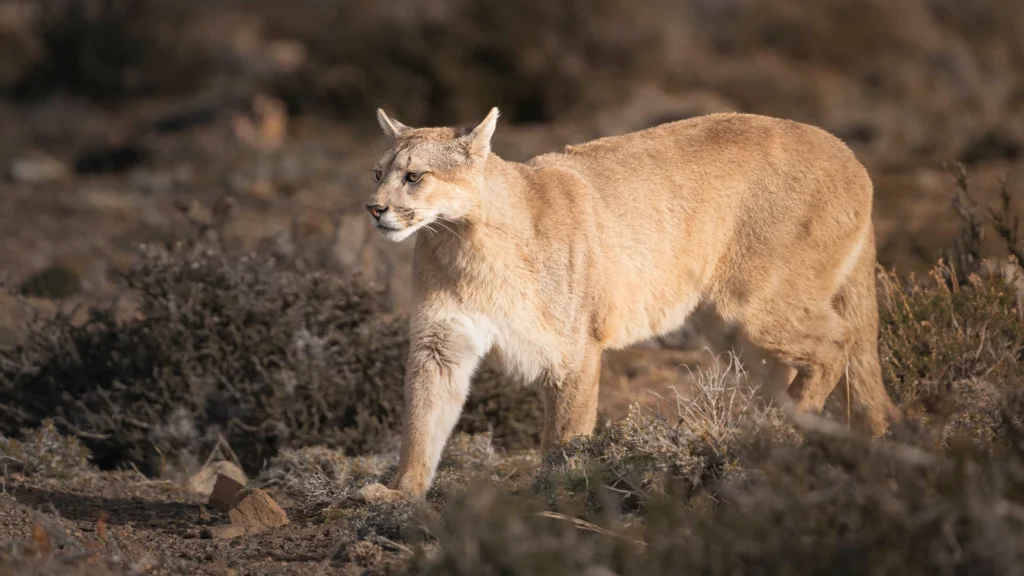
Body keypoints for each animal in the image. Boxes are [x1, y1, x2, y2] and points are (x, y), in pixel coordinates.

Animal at [357, 107, 899, 502]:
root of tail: (850, 156)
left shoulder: (573, 349)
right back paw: (762, 439)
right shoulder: (441, 343)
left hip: (753, 305)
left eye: (414, 177)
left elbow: (565, 435)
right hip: (729, 325)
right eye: (378, 172)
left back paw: (785, 432)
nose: (374, 208)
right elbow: (422, 420)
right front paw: (400, 494)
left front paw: (553, 492)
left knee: (838, 342)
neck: (463, 240)